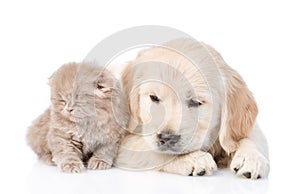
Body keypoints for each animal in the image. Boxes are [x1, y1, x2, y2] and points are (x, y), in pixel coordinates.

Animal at [115, 38, 270, 179]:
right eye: (154, 97)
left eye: (196, 102)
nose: (167, 138)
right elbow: (148, 148)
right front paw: (193, 158)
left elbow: (248, 137)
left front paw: (252, 157)